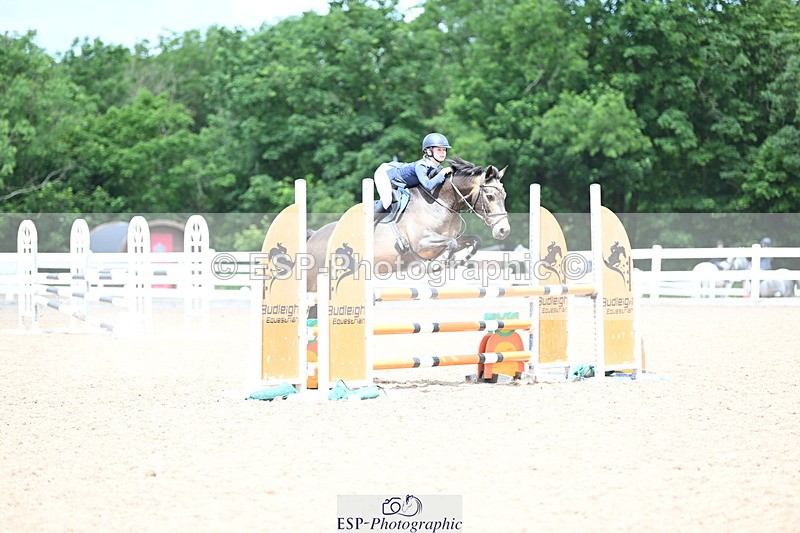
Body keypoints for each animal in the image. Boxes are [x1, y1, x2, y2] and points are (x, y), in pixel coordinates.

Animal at [306, 157, 511, 295]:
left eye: (504, 196)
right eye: (490, 196)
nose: (504, 230)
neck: (441, 202)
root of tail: (314, 236)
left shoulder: (450, 237)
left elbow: (473, 241)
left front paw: (460, 260)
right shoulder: (421, 243)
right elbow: (450, 244)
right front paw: (439, 264)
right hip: (314, 280)